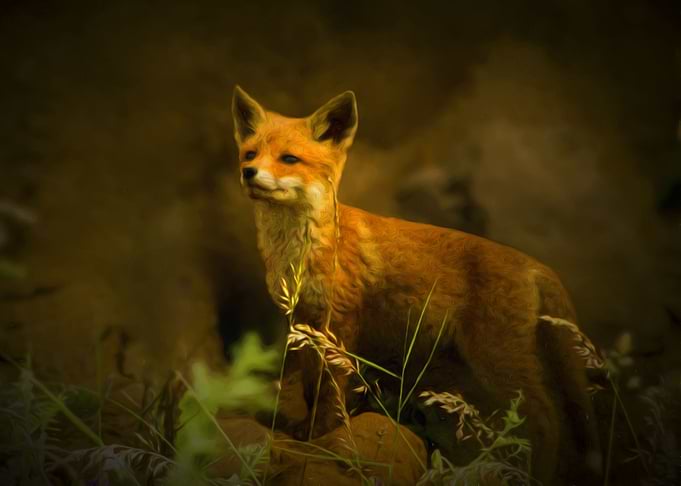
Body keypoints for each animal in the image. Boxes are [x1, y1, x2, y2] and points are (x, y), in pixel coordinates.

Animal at [230, 86, 601, 484]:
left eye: (288, 159)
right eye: (250, 153)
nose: (248, 172)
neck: (302, 252)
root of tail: (535, 264)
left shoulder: (339, 324)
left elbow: (331, 393)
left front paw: (323, 436)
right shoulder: (304, 322)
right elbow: (312, 387)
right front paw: (306, 431)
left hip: (496, 358)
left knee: (547, 419)